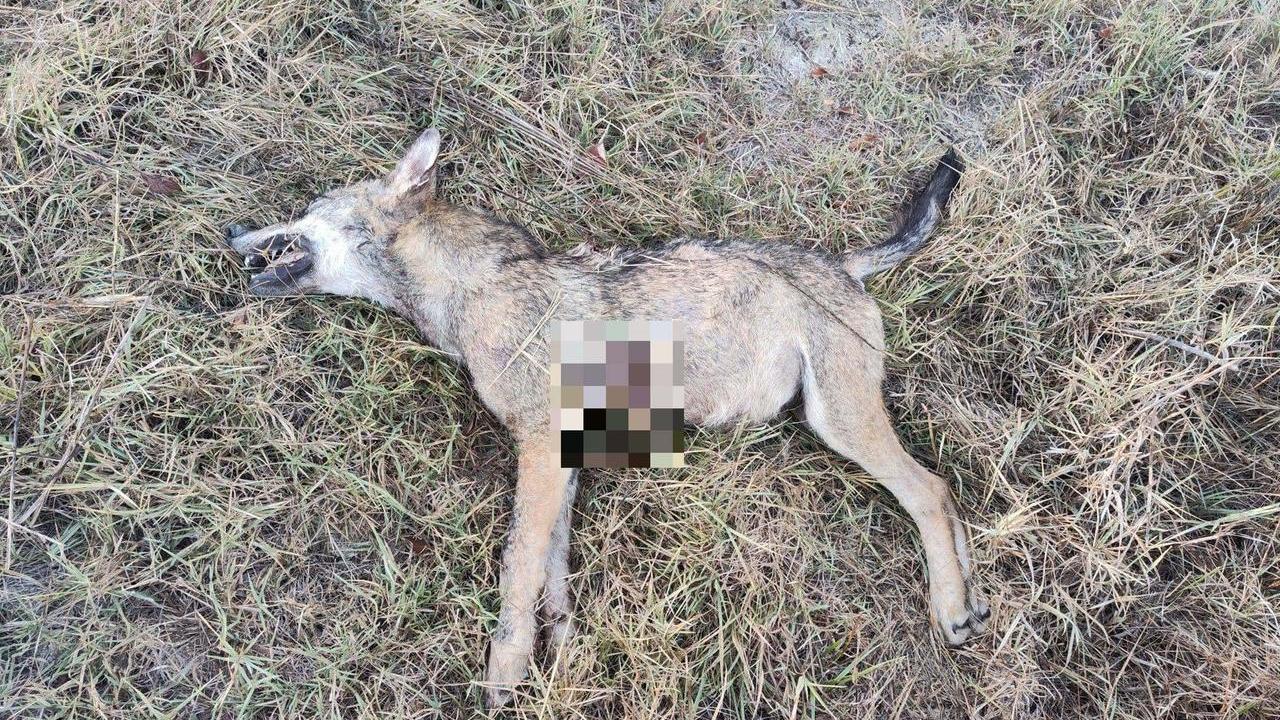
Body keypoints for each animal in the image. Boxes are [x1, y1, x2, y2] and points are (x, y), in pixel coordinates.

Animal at [223, 128, 988, 706]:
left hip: (839, 422)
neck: (474, 290)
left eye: (309, 206)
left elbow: (517, 568)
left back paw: (951, 607)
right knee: (946, 493)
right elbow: (552, 574)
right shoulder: (561, 456)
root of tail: (845, 265)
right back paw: (974, 602)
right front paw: (558, 653)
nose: (231, 227)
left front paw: (505, 674)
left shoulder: (536, 447)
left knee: (929, 489)